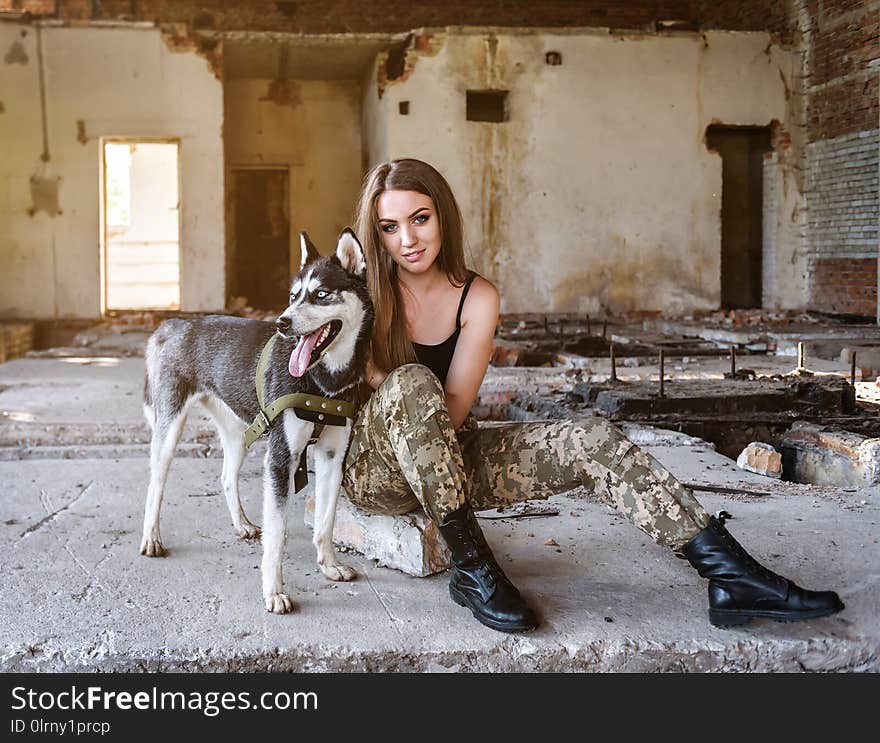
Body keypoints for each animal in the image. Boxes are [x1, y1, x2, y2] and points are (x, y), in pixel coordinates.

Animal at [140, 230, 372, 612]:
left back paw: (242, 525)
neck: (322, 379)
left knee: (225, 476)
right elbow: (278, 535)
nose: (282, 322)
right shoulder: (280, 460)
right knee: (155, 485)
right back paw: (151, 538)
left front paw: (329, 566)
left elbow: (325, 522)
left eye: (321, 294)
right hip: (169, 428)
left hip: (237, 433)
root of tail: (177, 324)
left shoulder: (332, 457)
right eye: (293, 296)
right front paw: (274, 592)